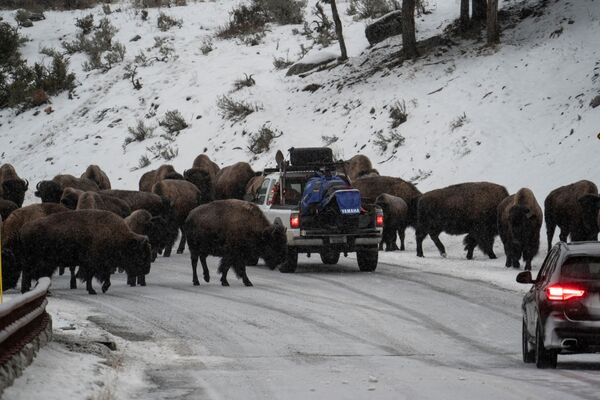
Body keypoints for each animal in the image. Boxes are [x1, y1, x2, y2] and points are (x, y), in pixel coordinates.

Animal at [20, 209, 152, 294]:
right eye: (141, 254)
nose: (147, 270)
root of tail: (25, 229)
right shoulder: (93, 264)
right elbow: (91, 276)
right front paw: (93, 290)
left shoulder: (104, 264)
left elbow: (105, 277)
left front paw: (102, 288)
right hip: (40, 262)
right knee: (31, 274)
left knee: (31, 274)